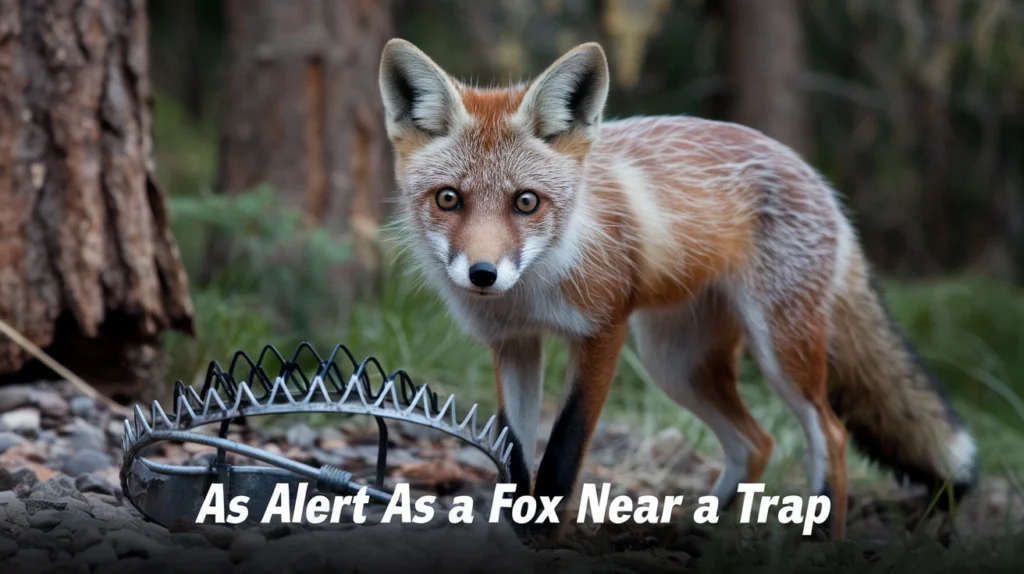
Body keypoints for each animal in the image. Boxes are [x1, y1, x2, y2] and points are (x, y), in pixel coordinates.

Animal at [377, 38, 979, 540]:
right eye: (449, 199)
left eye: (526, 202)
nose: (482, 274)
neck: (535, 286)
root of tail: (817, 180)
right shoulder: (514, 345)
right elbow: (515, 455)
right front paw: (519, 530)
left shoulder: (603, 330)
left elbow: (563, 449)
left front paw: (544, 539)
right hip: (676, 364)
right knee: (757, 443)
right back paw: (701, 528)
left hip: (778, 351)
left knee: (828, 433)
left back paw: (822, 539)